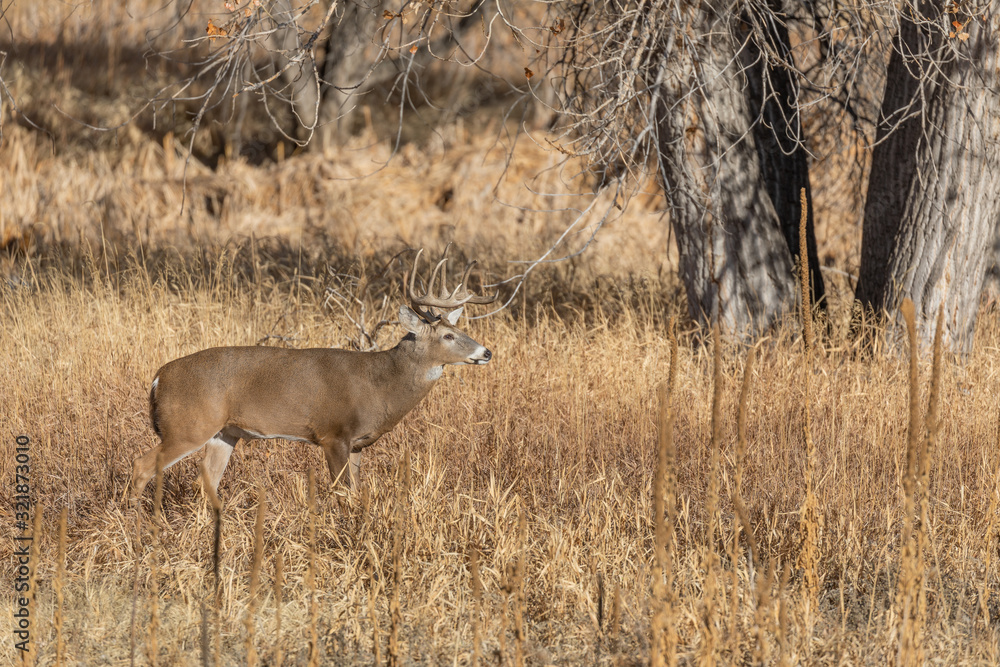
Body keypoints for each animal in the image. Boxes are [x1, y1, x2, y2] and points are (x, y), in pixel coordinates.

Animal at [130, 248, 497, 503]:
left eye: (460, 329)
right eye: (447, 335)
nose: (486, 353)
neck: (381, 384)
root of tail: (159, 377)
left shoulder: (358, 444)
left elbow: (356, 491)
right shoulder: (333, 433)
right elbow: (341, 493)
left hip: (224, 432)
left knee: (205, 478)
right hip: (188, 425)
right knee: (142, 466)